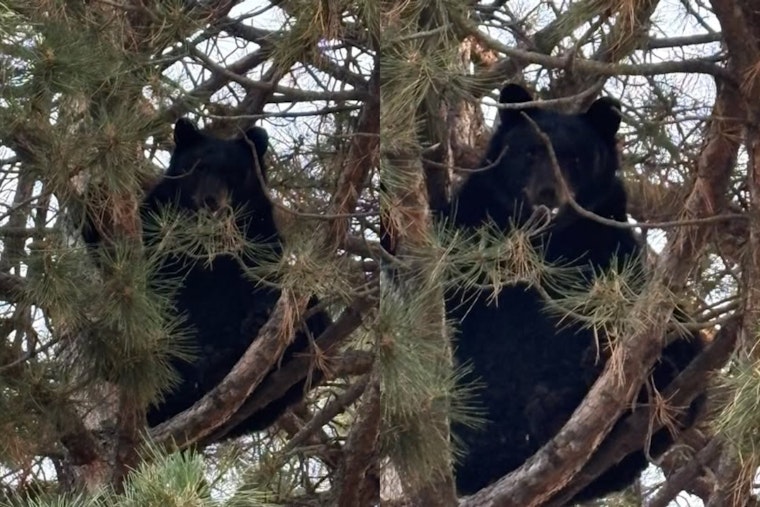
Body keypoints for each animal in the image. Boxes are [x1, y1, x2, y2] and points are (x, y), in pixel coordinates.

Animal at [83, 118, 331, 438]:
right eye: (198, 167)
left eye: (232, 173)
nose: (211, 201)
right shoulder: (157, 226)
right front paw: (97, 204)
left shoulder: (258, 235)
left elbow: (264, 278)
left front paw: (262, 314)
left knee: (315, 314)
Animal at [438, 84, 703, 502]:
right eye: (530, 151)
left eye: (576, 157)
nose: (549, 192)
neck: (546, 244)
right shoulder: (470, 227)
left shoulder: (609, 247)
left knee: (686, 340)